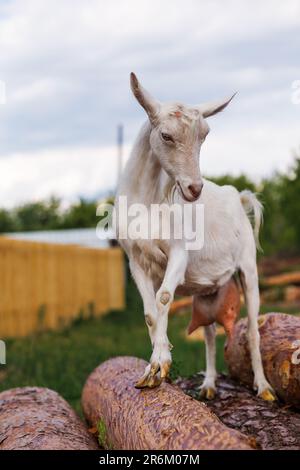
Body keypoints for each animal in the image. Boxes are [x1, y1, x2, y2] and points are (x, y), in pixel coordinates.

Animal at [116, 72, 276, 400]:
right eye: (166, 135)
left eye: (204, 135)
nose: (194, 188)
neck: (148, 202)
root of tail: (238, 197)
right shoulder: (136, 260)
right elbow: (149, 314)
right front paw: (154, 369)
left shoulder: (179, 253)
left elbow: (164, 298)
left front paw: (159, 363)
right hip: (208, 291)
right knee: (210, 332)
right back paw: (209, 385)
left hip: (248, 267)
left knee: (254, 329)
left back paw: (264, 387)